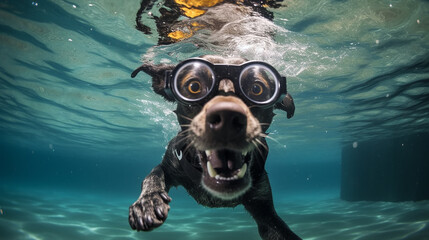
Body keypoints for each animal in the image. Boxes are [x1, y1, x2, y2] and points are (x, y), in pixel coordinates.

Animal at [129, 54, 300, 240]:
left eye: (257, 89)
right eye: (194, 86)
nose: (227, 117)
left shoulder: (265, 213)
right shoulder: (170, 163)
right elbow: (153, 175)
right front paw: (147, 202)